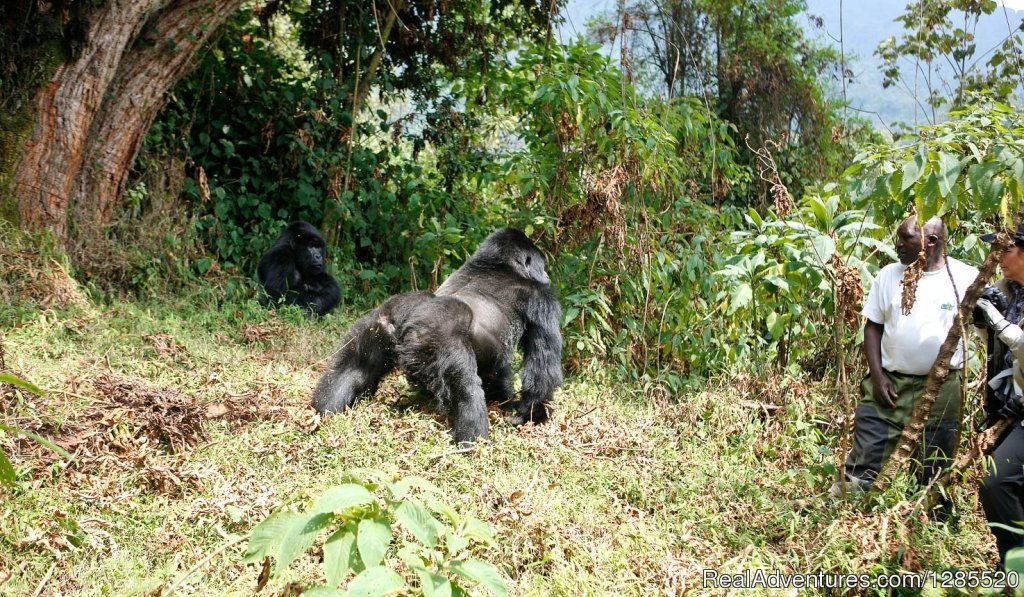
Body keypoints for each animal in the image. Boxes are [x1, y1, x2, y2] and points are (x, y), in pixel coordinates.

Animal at [315, 229, 565, 444]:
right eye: (542, 265)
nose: (547, 274)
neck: (499, 264)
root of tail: (410, 320)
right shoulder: (542, 296)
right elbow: (541, 369)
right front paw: (532, 413)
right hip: (440, 340)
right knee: (466, 389)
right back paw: (474, 444)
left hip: (379, 321)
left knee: (355, 367)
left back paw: (322, 410)